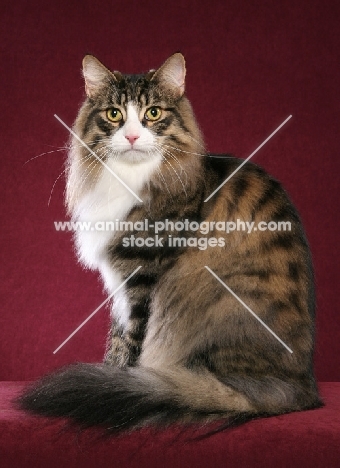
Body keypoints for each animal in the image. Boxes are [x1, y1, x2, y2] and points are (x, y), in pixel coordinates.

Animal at [18, 53, 322, 434]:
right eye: (114, 114)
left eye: (153, 113)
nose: (133, 136)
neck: (130, 179)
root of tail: (301, 387)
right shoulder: (120, 284)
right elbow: (116, 342)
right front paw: (111, 376)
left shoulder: (143, 276)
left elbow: (132, 343)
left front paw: (120, 382)